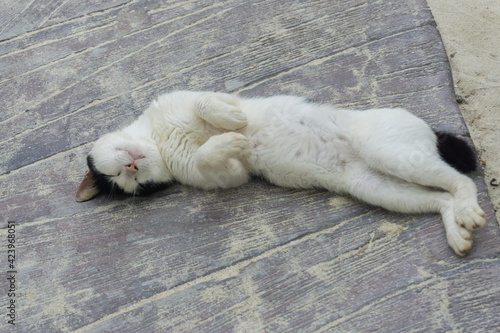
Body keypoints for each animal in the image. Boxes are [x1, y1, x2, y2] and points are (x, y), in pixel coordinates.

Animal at [77, 90, 484, 254]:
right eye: (128, 182)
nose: (131, 166)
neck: (160, 140)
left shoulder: (200, 98)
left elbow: (211, 106)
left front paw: (234, 125)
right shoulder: (228, 175)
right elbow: (212, 157)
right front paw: (234, 142)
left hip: (391, 155)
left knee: (461, 180)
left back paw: (468, 212)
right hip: (381, 187)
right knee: (443, 197)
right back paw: (459, 230)